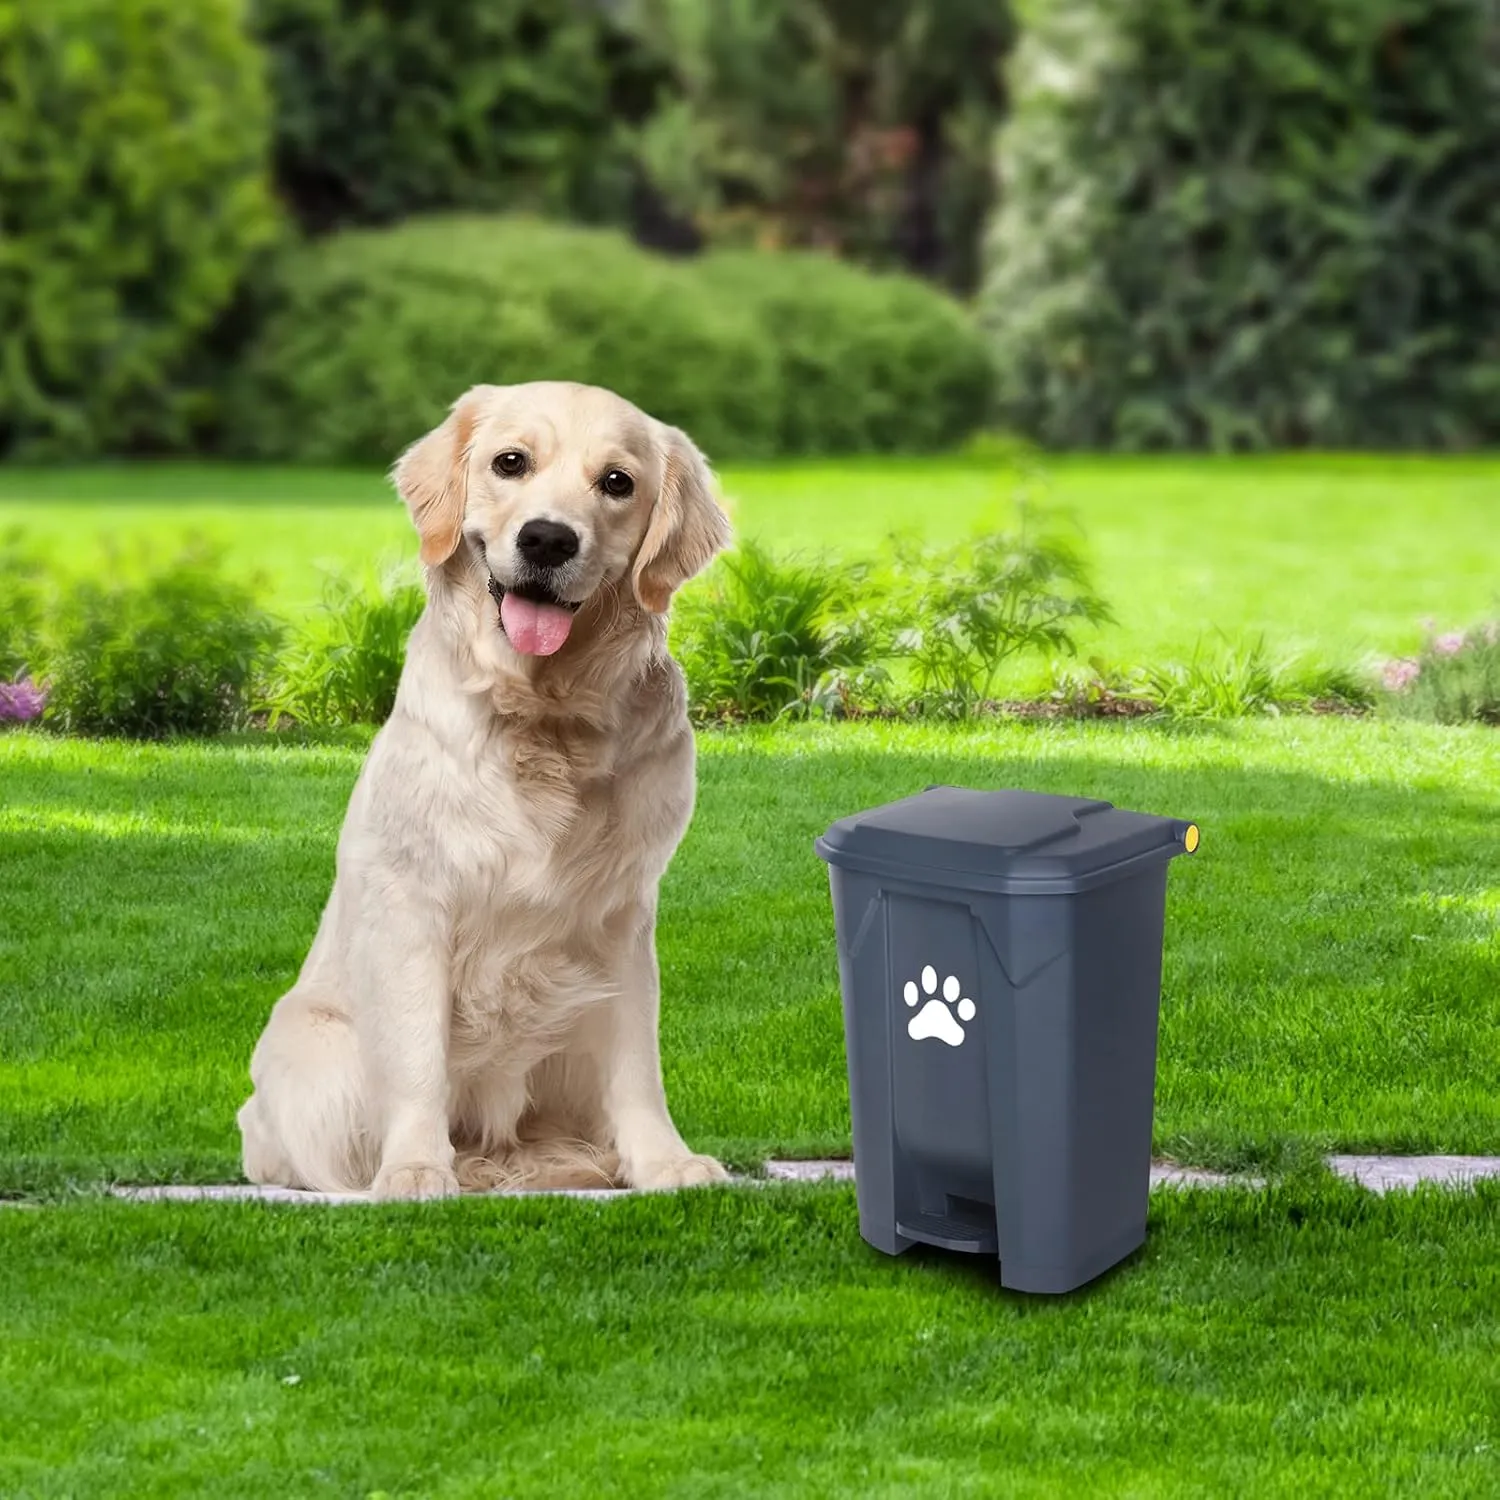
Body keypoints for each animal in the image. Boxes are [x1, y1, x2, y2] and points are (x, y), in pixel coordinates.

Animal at [237, 381, 735, 1200]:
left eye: (617, 482)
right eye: (510, 463)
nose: (547, 540)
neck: (544, 715)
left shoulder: (622, 916)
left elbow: (637, 1061)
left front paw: (663, 1161)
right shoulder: (413, 905)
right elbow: (418, 1061)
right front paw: (414, 1169)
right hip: (315, 1059)